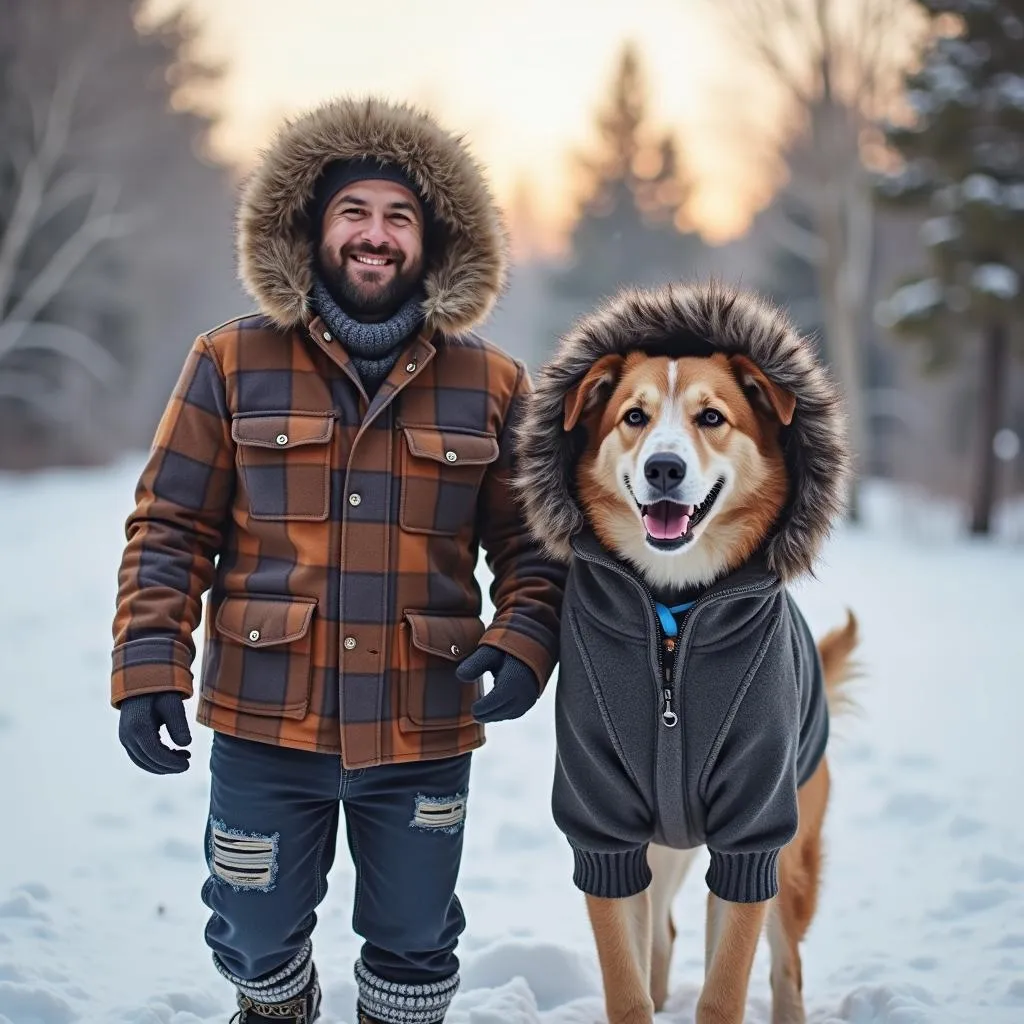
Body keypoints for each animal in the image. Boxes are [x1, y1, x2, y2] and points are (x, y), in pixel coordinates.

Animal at [516, 280, 860, 1024]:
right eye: (634, 417)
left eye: (712, 418)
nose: (664, 467)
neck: (674, 614)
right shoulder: (606, 828)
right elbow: (628, 986)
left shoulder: (754, 835)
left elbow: (725, 987)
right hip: (663, 847)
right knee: (667, 934)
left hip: (793, 858)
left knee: (785, 962)